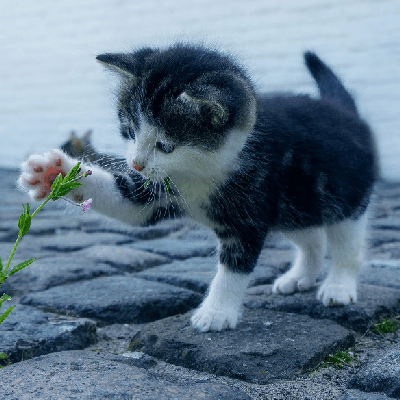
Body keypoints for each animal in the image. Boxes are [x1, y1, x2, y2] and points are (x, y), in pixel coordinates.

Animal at [19, 43, 378, 332]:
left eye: (165, 146)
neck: (201, 172)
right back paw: (300, 276)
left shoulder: (250, 210)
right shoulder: (158, 189)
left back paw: (338, 286)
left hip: (345, 195)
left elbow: (234, 267)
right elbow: (128, 203)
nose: (135, 163)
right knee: (311, 237)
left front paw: (216, 313)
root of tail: (345, 112)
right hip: (295, 203)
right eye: (130, 131)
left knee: (346, 243)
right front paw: (54, 173)